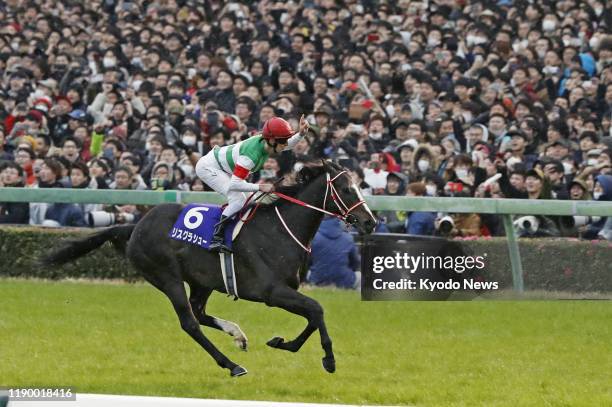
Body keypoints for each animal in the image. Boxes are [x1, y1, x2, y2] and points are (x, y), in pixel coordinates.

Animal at [43, 161, 378, 378]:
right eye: (347, 189)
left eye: (359, 186)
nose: (370, 222)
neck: (279, 229)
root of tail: (135, 225)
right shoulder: (272, 292)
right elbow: (317, 310)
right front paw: (328, 360)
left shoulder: (285, 291)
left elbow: (312, 315)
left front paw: (282, 343)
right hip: (167, 276)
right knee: (190, 322)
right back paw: (232, 365)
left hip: (201, 281)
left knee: (200, 313)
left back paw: (237, 335)